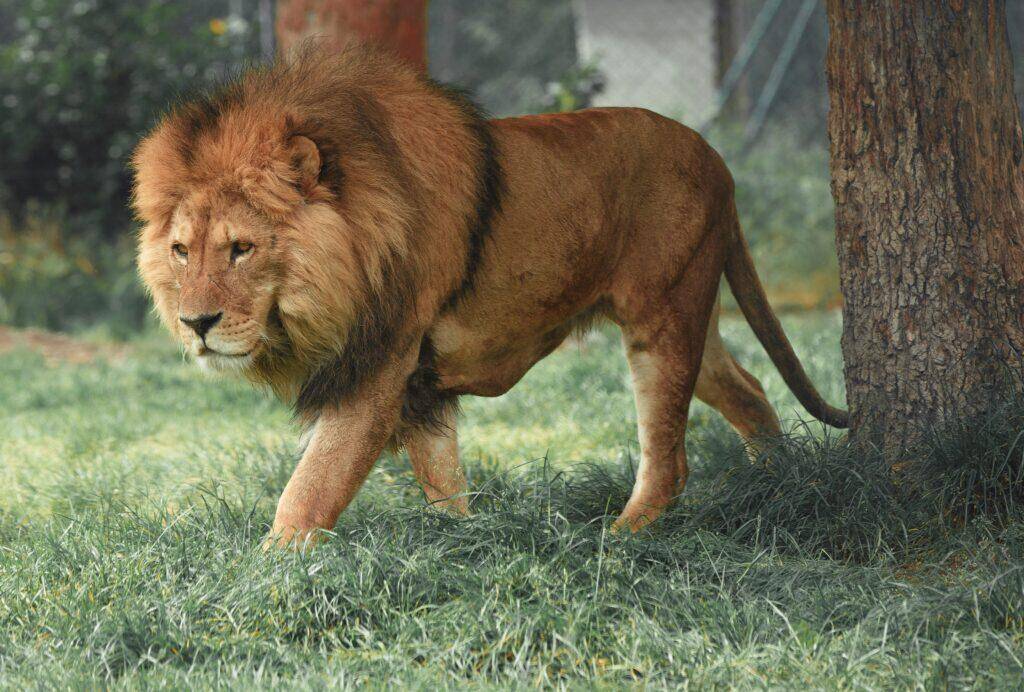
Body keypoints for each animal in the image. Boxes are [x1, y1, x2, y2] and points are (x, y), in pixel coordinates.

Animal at [133, 45, 847, 546]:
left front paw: (265, 574)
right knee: (748, 388)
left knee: (669, 458)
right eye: (181, 251)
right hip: (690, 310)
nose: (197, 323)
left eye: (241, 248)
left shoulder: (380, 364)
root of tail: (717, 160)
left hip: (662, 316)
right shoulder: (417, 383)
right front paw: (466, 543)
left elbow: (312, 487)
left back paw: (617, 541)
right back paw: (777, 486)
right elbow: (442, 479)